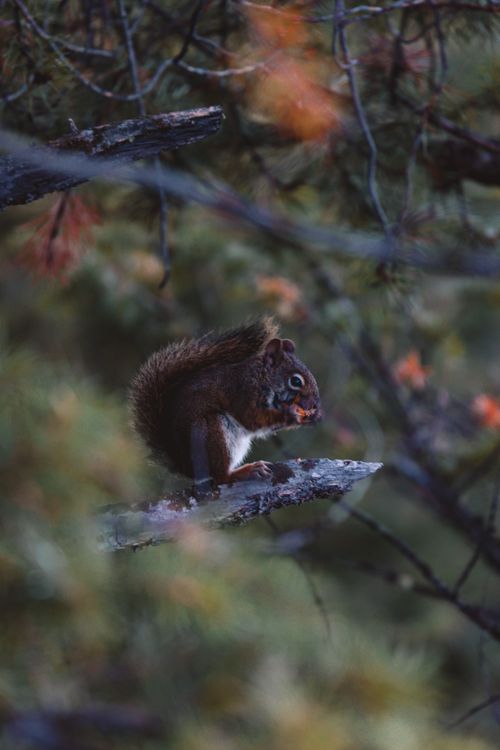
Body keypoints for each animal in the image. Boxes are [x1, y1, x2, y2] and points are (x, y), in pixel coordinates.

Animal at [129, 318, 321, 487]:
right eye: (295, 381)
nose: (314, 404)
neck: (261, 378)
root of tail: (186, 468)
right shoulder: (241, 392)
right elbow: (252, 419)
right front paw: (292, 414)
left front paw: (310, 416)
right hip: (211, 431)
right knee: (221, 478)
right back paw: (244, 472)